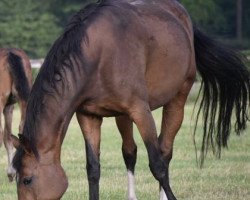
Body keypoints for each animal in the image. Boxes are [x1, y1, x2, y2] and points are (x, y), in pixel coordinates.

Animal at [11, 0, 248, 200]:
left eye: (27, 180)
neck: (96, 56)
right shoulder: (89, 116)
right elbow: (93, 168)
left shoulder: (140, 111)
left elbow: (157, 164)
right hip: (121, 116)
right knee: (130, 151)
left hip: (177, 99)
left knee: (165, 151)